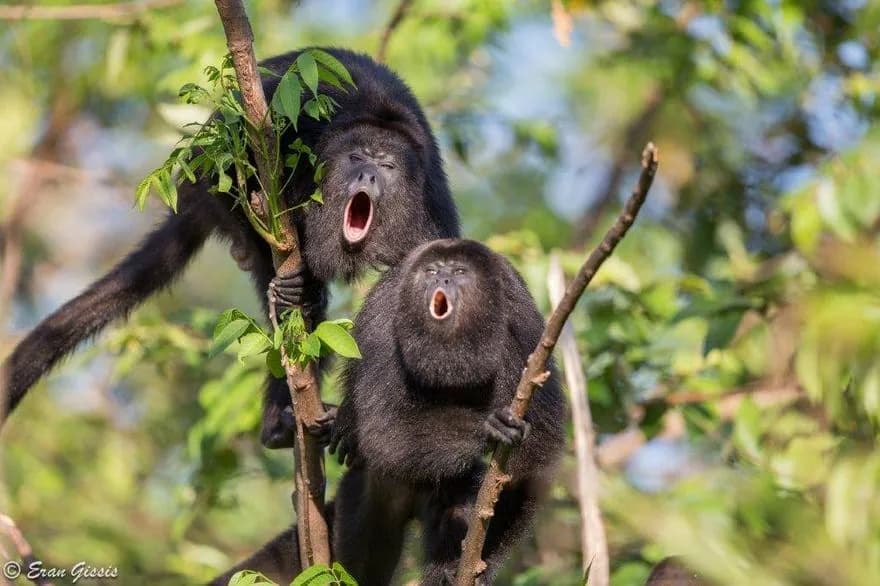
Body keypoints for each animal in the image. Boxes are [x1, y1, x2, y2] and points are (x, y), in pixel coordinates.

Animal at [0, 48, 459, 450]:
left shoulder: (431, 209)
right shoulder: (296, 129)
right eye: (357, 157)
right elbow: (229, 167)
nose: (367, 175)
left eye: (387, 166)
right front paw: (293, 284)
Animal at [312, 238, 566, 585]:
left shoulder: (522, 315)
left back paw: (449, 568)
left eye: (459, 272)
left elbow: (535, 456)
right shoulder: (384, 314)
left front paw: (481, 564)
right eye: (431, 271)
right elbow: (384, 429)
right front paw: (489, 427)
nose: (442, 279)